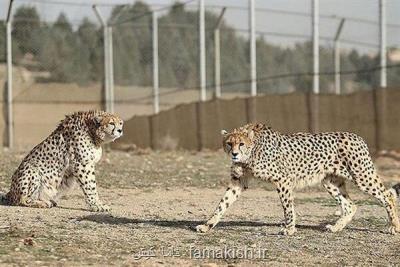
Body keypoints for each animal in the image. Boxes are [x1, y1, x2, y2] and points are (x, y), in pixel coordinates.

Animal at [196, 123, 400, 237]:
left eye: (241, 144)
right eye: (229, 143)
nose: (234, 154)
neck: (251, 153)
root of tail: (357, 136)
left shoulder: (283, 180)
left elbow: (287, 207)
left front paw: (289, 229)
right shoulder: (238, 182)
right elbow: (222, 204)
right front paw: (207, 226)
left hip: (362, 176)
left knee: (387, 196)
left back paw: (394, 227)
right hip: (330, 182)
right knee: (350, 205)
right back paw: (336, 228)